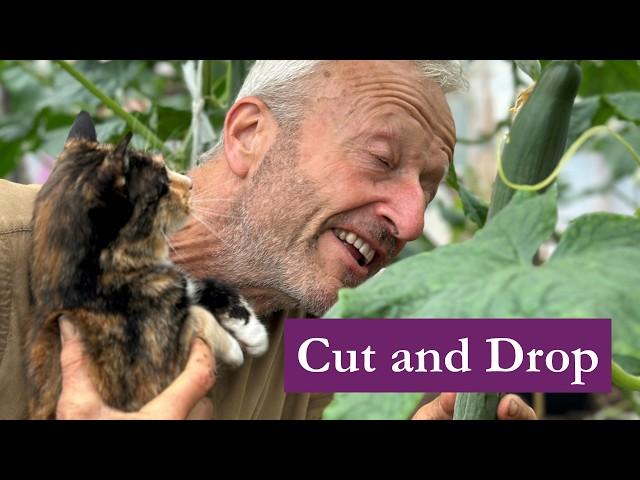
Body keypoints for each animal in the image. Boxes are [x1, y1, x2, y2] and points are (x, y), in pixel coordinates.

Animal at [25, 110, 268, 418]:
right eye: (162, 184)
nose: (189, 183)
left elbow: (200, 286)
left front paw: (253, 330)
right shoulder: (155, 376)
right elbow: (196, 315)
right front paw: (234, 348)